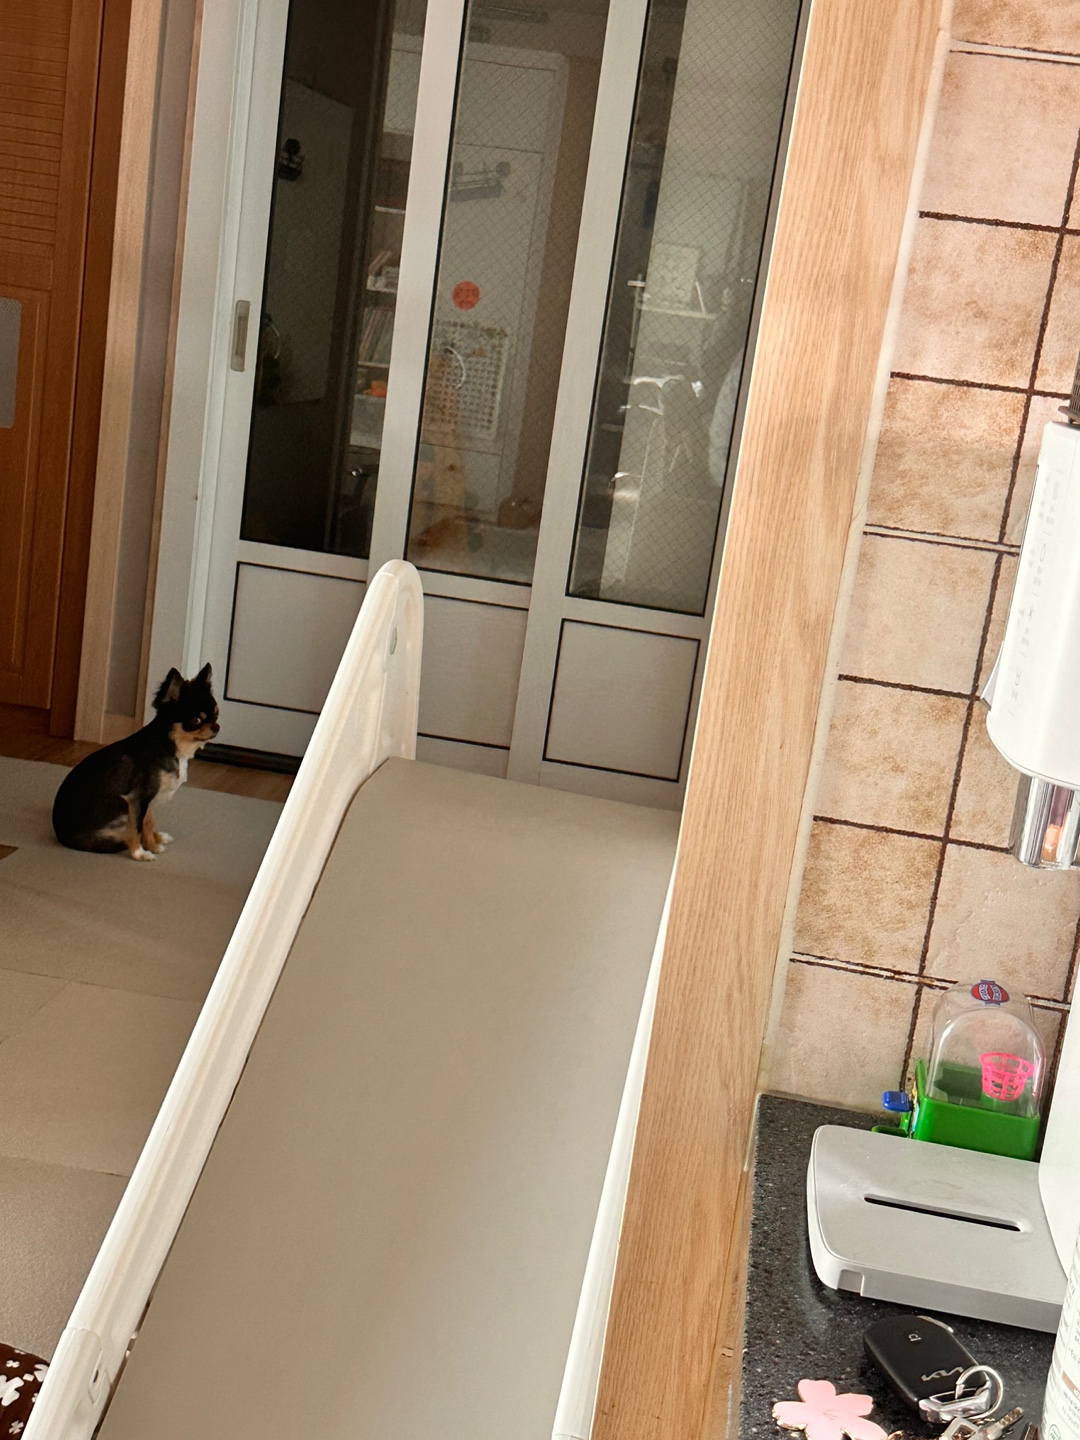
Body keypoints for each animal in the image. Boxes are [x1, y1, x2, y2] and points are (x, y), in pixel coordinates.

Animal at [52, 665, 220, 860]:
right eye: (196, 720)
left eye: (217, 713)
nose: (216, 727)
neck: (171, 746)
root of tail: (60, 836)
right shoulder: (138, 798)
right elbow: (137, 829)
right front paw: (140, 853)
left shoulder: (147, 800)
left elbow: (148, 823)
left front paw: (153, 843)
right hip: (113, 835)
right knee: (125, 834)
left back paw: (158, 837)